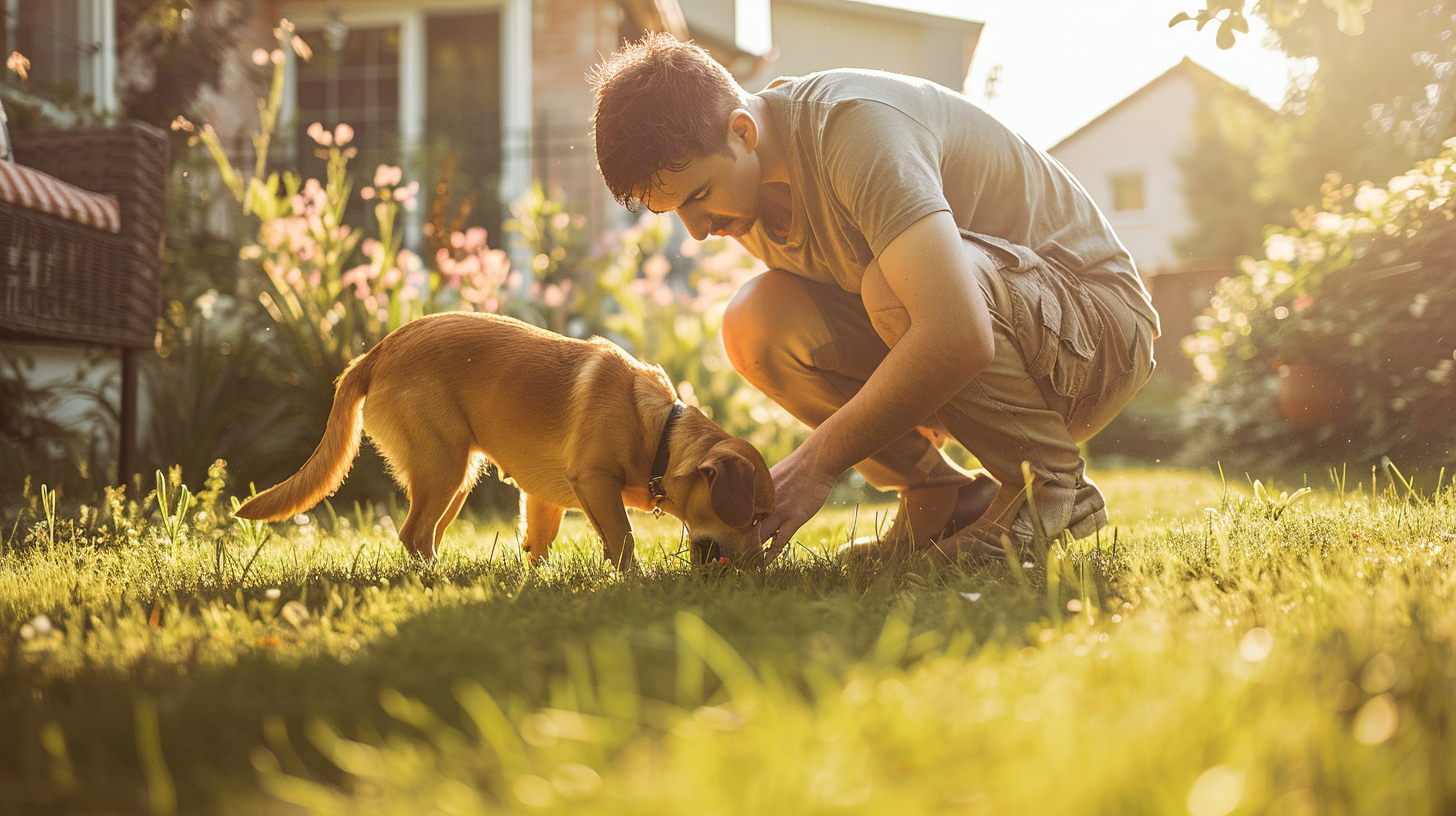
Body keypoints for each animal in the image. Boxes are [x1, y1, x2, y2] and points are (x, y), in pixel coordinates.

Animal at [232, 308, 774, 571]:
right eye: (754, 518)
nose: (758, 572)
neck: (659, 430)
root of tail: (376, 352)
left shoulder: (543, 499)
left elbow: (539, 545)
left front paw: (539, 579)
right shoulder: (595, 483)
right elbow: (622, 540)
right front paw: (632, 584)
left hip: (455, 477)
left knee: (425, 534)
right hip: (445, 466)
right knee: (413, 534)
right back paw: (436, 581)